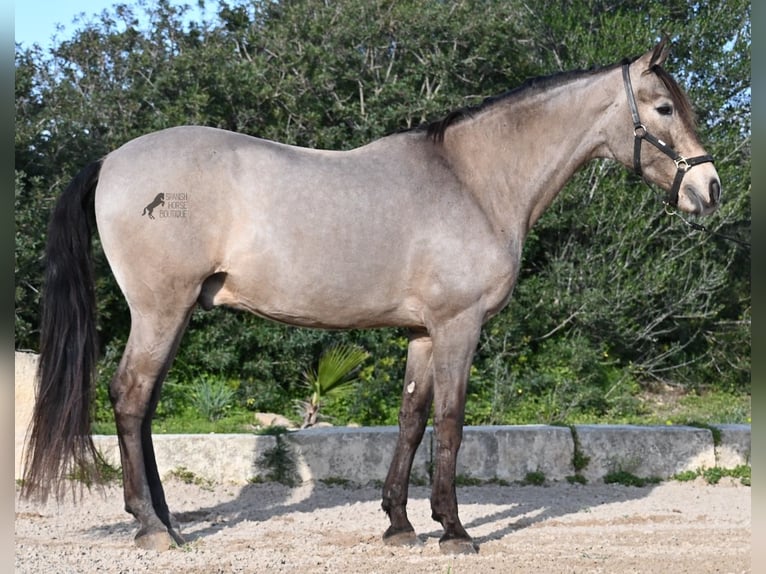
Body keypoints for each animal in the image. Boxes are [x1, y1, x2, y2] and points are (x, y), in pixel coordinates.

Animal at [22, 38, 720, 554]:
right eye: (663, 108)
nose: (708, 190)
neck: (473, 181)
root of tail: (112, 161)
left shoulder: (422, 333)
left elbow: (411, 417)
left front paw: (400, 524)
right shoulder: (459, 325)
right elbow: (451, 421)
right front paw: (454, 531)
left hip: (174, 314)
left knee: (143, 407)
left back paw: (167, 520)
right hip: (160, 310)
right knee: (130, 398)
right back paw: (149, 527)